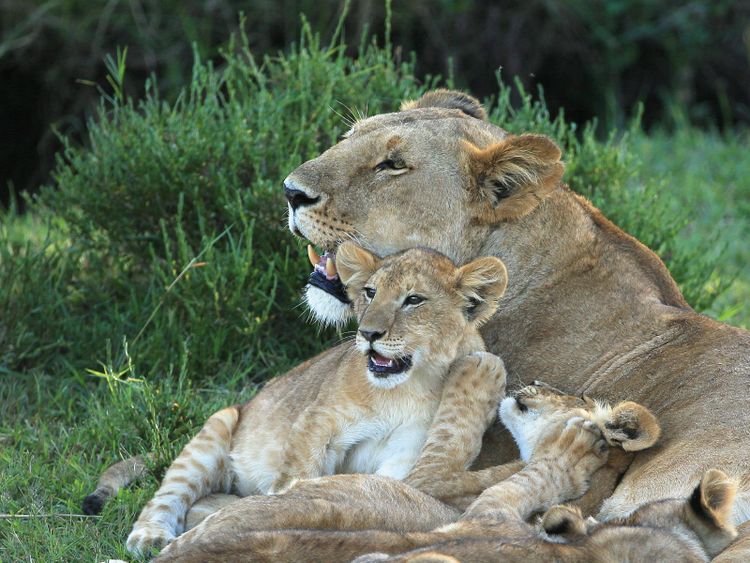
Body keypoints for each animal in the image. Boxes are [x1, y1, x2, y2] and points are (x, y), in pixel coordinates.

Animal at [123, 243, 509, 554]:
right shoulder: (319, 420)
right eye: (370, 293)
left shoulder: (406, 452)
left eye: (414, 300)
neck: (403, 390)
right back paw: (149, 536)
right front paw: (282, 506)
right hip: (215, 430)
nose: (368, 333)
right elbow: (299, 473)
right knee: (167, 494)